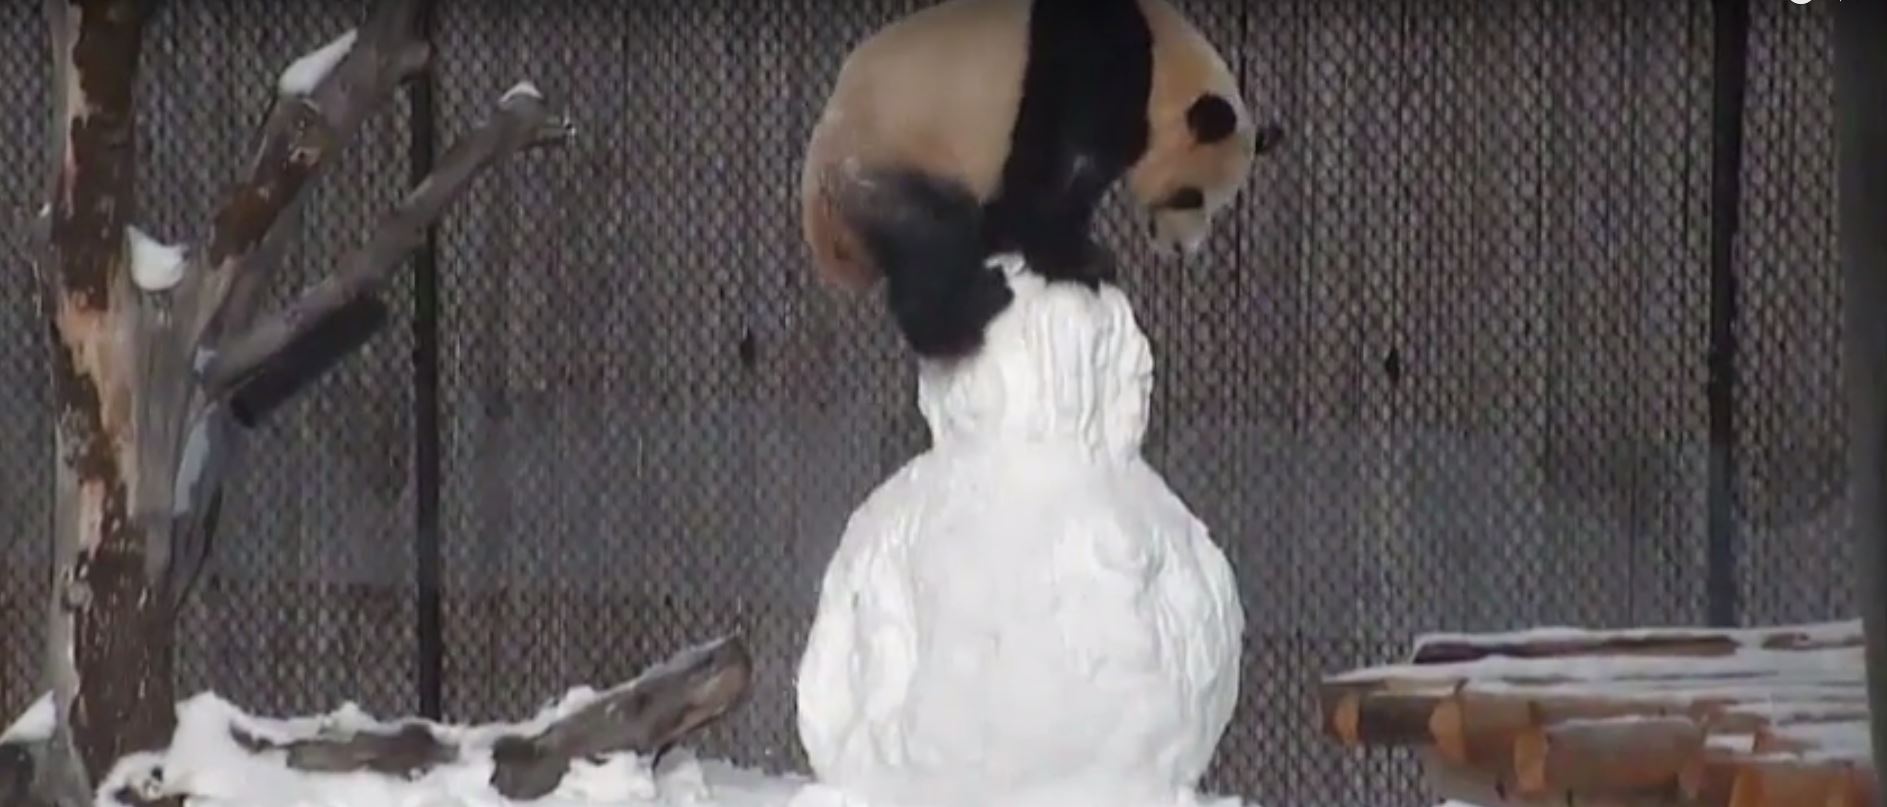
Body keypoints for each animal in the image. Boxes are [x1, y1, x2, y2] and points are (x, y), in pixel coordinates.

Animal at [799, 0, 1278, 359]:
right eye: (1188, 196)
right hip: (891, 161)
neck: (1163, 65)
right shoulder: (1094, 67)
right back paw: (969, 314)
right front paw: (1082, 259)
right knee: (933, 234)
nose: (1182, 249)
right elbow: (1057, 172)